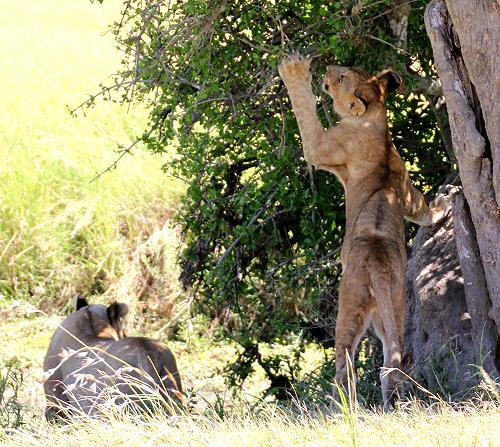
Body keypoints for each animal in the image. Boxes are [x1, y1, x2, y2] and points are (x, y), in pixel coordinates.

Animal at [280, 54, 452, 408]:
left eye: (340, 77)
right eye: (346, 69)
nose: (326, 69)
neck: (376, 122)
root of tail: (377, 264)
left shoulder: (327, 146)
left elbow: (306, 118)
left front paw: (294, 71)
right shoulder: (404, 185)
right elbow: (421, 209)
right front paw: (442, 206)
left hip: (349, 305)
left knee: (344, 364)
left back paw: (340, 407)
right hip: (395, 307)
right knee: (394, 356)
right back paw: (392, 402)